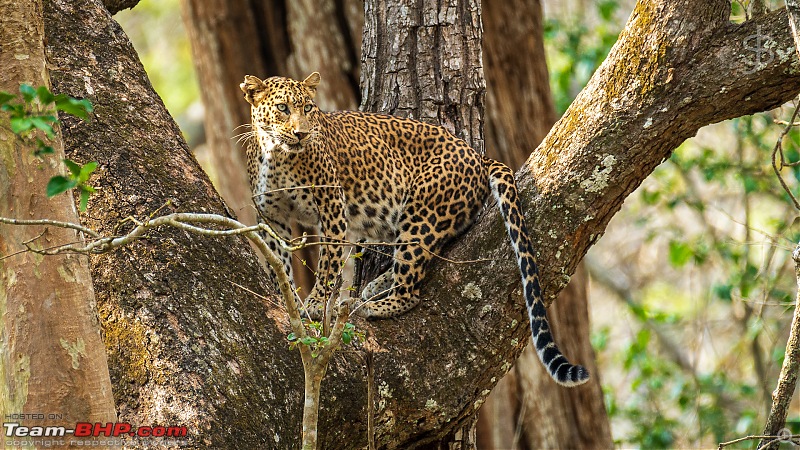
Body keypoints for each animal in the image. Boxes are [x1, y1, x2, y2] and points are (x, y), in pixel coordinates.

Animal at [238, 72, 588, 384]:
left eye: (308, 108)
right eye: (283, 108)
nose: (301, 134)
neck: (275, 153)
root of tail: (477, 154)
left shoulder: (332, 208)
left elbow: (327, 264)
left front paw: (313, 305)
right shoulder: (273, 218)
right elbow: (279, 260)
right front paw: (286, 297)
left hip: (421, 212)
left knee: (411, 286)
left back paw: (372, 305)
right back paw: (374, 287)